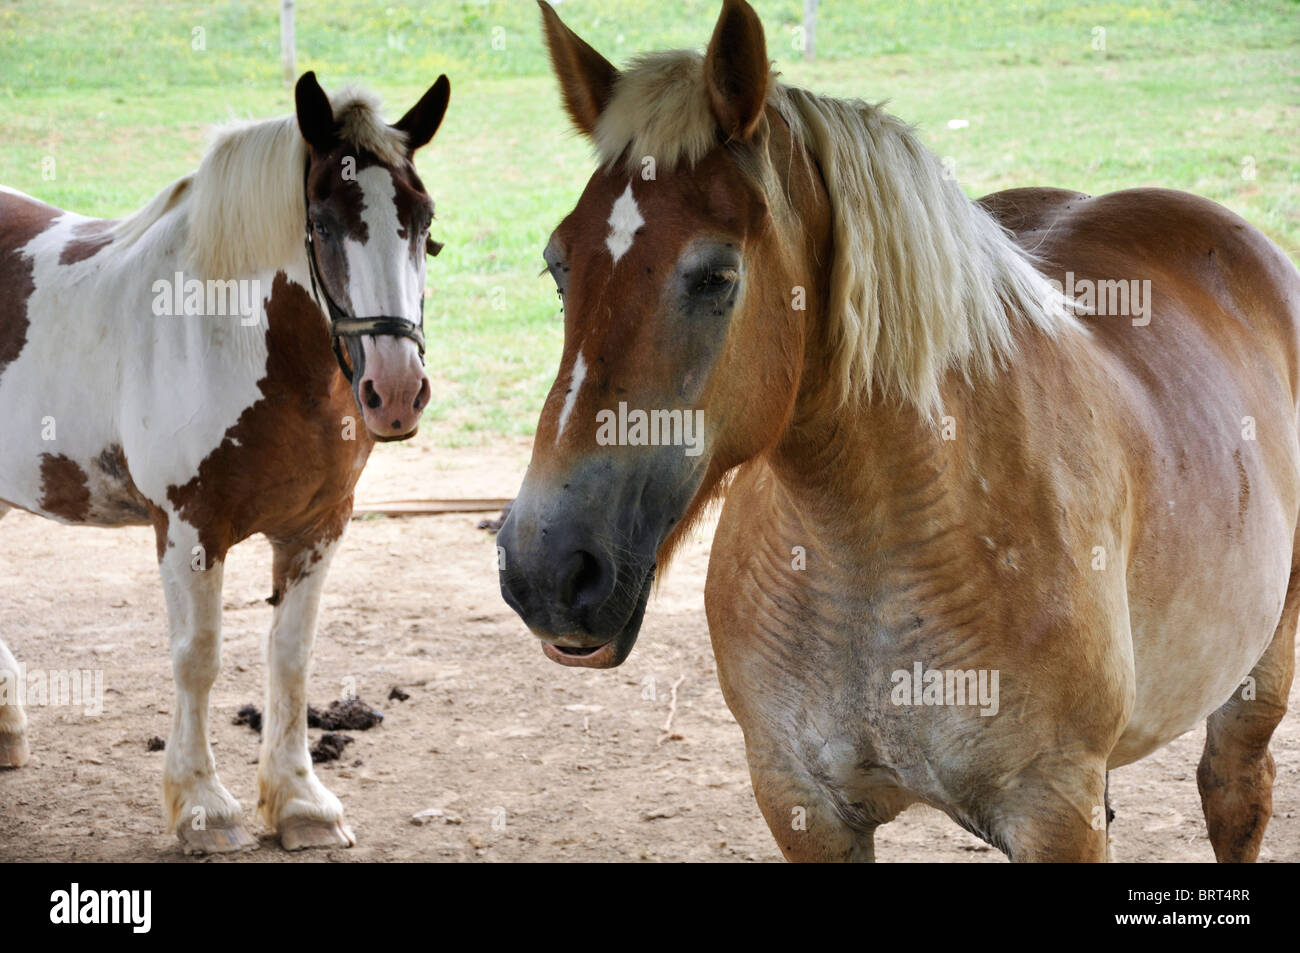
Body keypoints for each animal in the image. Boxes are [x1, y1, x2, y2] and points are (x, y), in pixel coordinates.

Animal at [0, 70, 452, 852]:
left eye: (423, 222)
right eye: (323, 223)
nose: (395, 391)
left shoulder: (318, 528)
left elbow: (291, 656)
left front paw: (300, 802)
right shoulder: (189, 528)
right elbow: (199, 657)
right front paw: (204, 806)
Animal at [501, 0, 1300, 863]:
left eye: (717, 274)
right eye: (558, 264)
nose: (548, 566)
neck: (873, 545)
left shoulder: (1054, 812)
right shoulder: (803, 804)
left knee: (1235, 789)